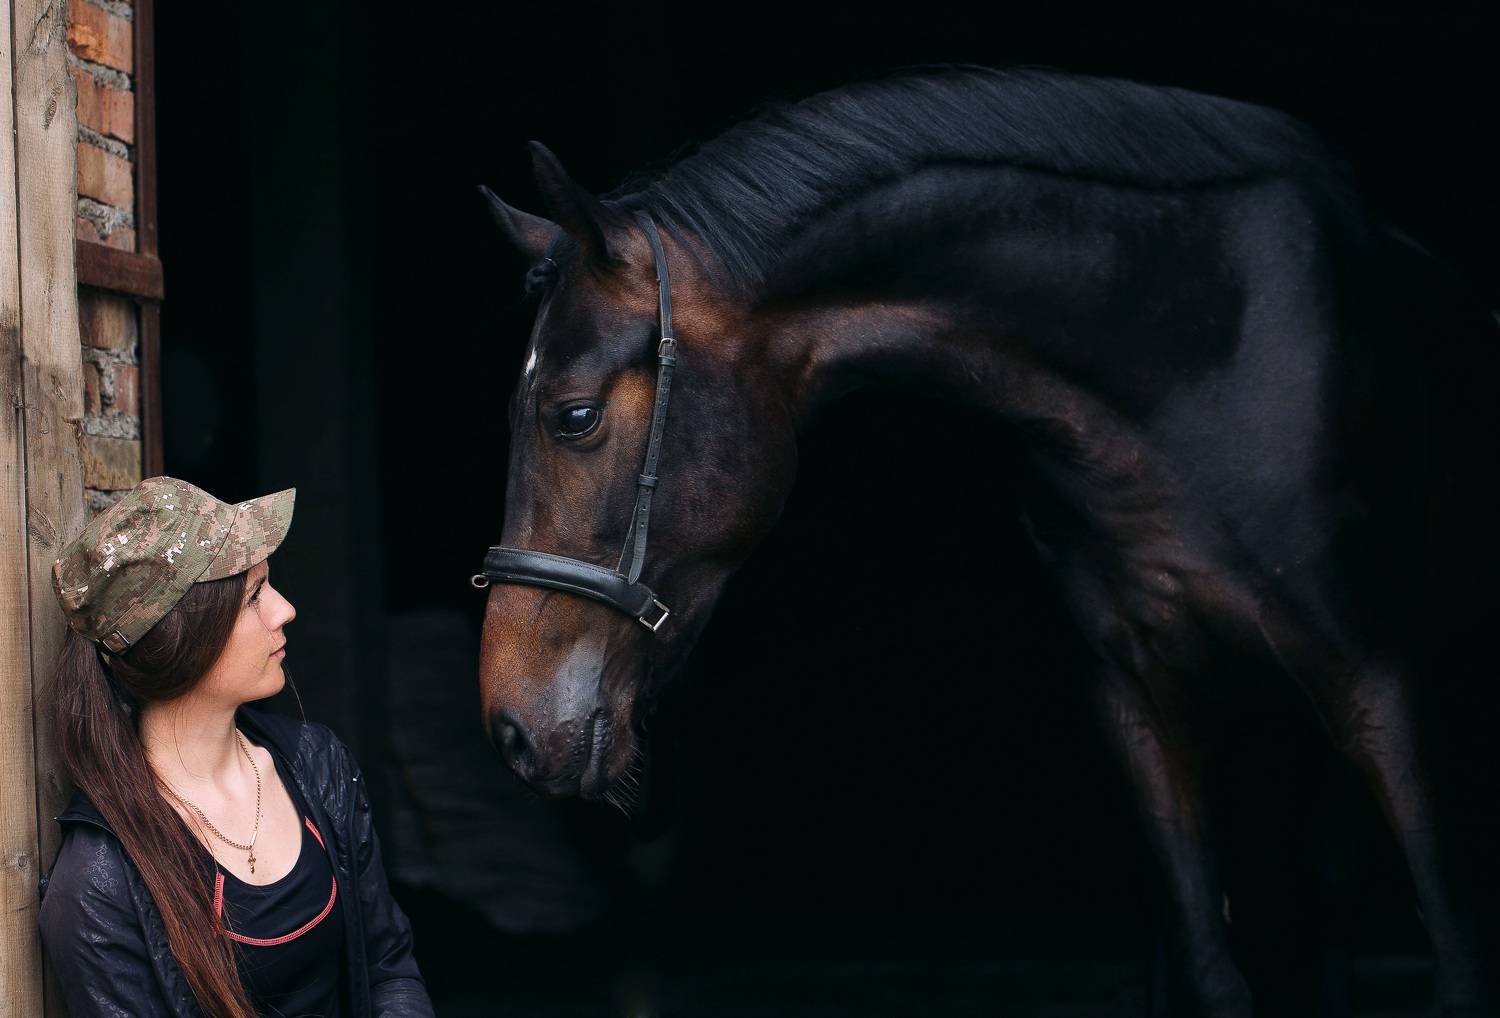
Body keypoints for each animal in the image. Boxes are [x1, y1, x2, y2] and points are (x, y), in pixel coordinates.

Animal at [470, 67, 1496, 1015]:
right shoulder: (1140, 700)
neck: (1197, 362)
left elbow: (1455, 964)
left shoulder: (1377, 680)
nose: (510, 730)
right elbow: (1212, 974)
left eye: (572, 415)